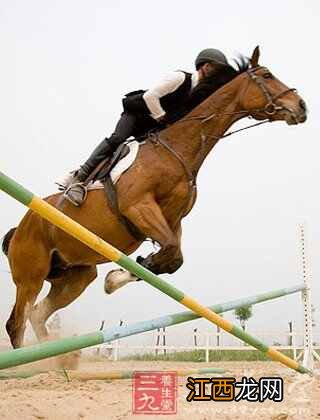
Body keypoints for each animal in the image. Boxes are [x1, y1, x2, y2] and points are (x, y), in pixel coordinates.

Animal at [1, 46, 308, 348]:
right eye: (267, 75)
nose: (302, 106)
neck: (177, 150)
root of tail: (21, 226)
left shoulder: (173, 220)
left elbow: (172, 258)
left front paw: (118, 277)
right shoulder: (139, 207)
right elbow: (170, 250)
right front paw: (119, 276)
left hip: (76, 274)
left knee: (38, 314)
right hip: (31, 275)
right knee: (17, 322)